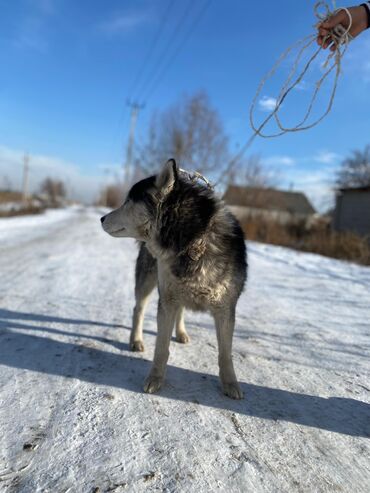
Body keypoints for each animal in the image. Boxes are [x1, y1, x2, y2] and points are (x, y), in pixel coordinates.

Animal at [99, 160, 247, 398]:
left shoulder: (225, 309)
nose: (101, 218)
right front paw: (155, 378)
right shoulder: (166, 301)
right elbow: (161, 349)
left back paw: (181, 333)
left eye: (129, 201)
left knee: (181, 310)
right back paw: (136, 340)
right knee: (138, 309)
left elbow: (225, 354)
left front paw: (230, 384)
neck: (192, 241)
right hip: (148, 282)